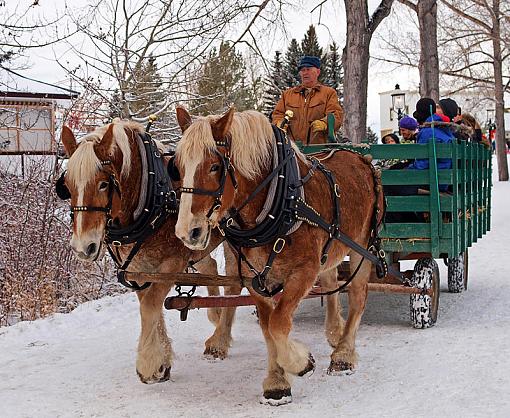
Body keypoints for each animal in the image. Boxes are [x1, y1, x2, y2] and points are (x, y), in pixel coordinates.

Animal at [58, 119, 242, 384]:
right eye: (68, 186)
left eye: (103, 183)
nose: (83, 247)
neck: (152, 197)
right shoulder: (138, 268)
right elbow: (148, 303)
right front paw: (162, 362)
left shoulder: (171, 264)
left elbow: (150, 305)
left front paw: (148, 363)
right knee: (211, 267)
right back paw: (216, 314)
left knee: (235, 282)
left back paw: (220, 339)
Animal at [174, 107, 382, 404]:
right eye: (178, 168)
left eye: (215, 166)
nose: (186, 231)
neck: (279, 203)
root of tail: (361, 157)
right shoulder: (255, 278)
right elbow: (267, 327)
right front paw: (277, 382)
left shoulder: (303, 272)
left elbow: (278, 323)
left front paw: (301, 363)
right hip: (331, 248)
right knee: (330, 282)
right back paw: (334, 331)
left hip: (362, 248)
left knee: (357, 295)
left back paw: (343, 355)